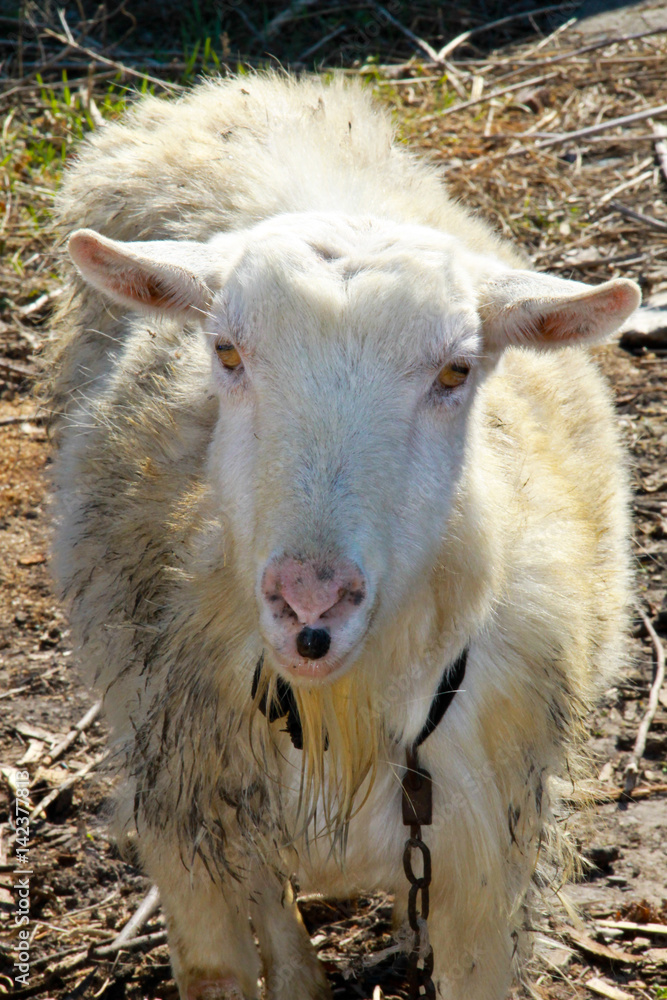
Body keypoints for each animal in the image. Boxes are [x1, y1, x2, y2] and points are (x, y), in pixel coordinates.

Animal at [45, 74, 639, 1000]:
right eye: (225, 351)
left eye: (455, 370)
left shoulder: (483, 864)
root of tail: (245, 87)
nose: (310, 603)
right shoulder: (184, 823)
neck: (341, 713)